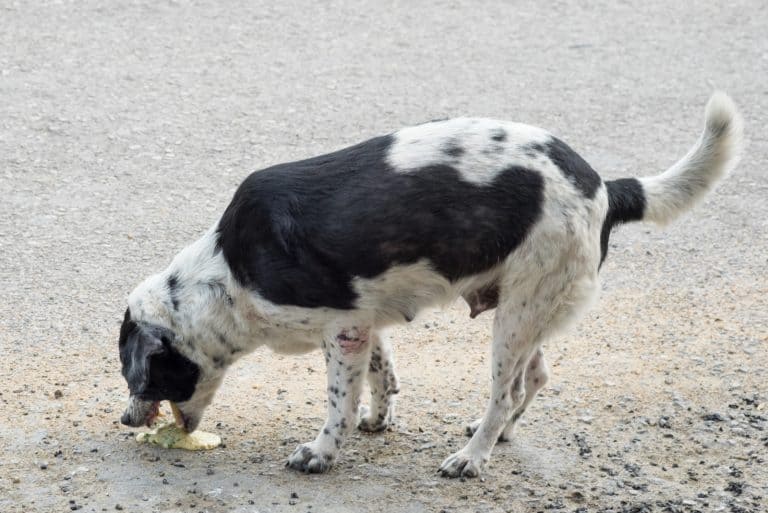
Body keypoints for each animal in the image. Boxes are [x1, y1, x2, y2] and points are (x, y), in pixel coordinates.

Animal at [117, 91, 740, 476]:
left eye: (136, 377)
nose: (123, 420)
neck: (228, 273)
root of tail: (605, 186)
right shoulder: (363, 324)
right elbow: (382, 376)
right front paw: (377, 420)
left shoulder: (341, 331)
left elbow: (338, 403)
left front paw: (322, 452)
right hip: (530, 308)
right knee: (536, 376)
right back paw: (497, 435)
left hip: (516, 317)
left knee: (506, 390)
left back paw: (472, 457)